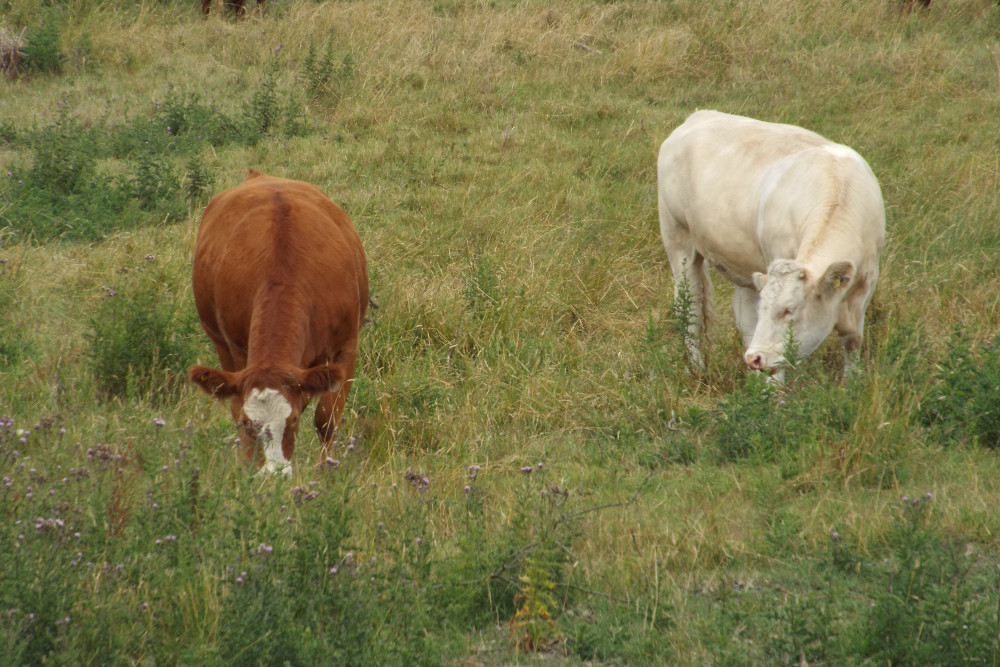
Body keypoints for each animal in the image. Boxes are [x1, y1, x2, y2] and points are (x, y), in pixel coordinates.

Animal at [188, 171, 368, 474]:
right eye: (250, 423)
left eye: (292, 419)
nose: (274, 473)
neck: (283, 272)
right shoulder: (239, 352)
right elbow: (238, 410)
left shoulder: (346, 348)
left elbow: (326, 419)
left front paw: (327, 471)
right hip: (221, 344)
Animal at [660, 110, 888, 380]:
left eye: (790, 309)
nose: (754, 358)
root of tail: (700, 115)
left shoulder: (867, 282)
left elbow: (853, 340)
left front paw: (851, 383)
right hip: (677, 236)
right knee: (690, 306)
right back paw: (695, 369)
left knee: (745, 318)